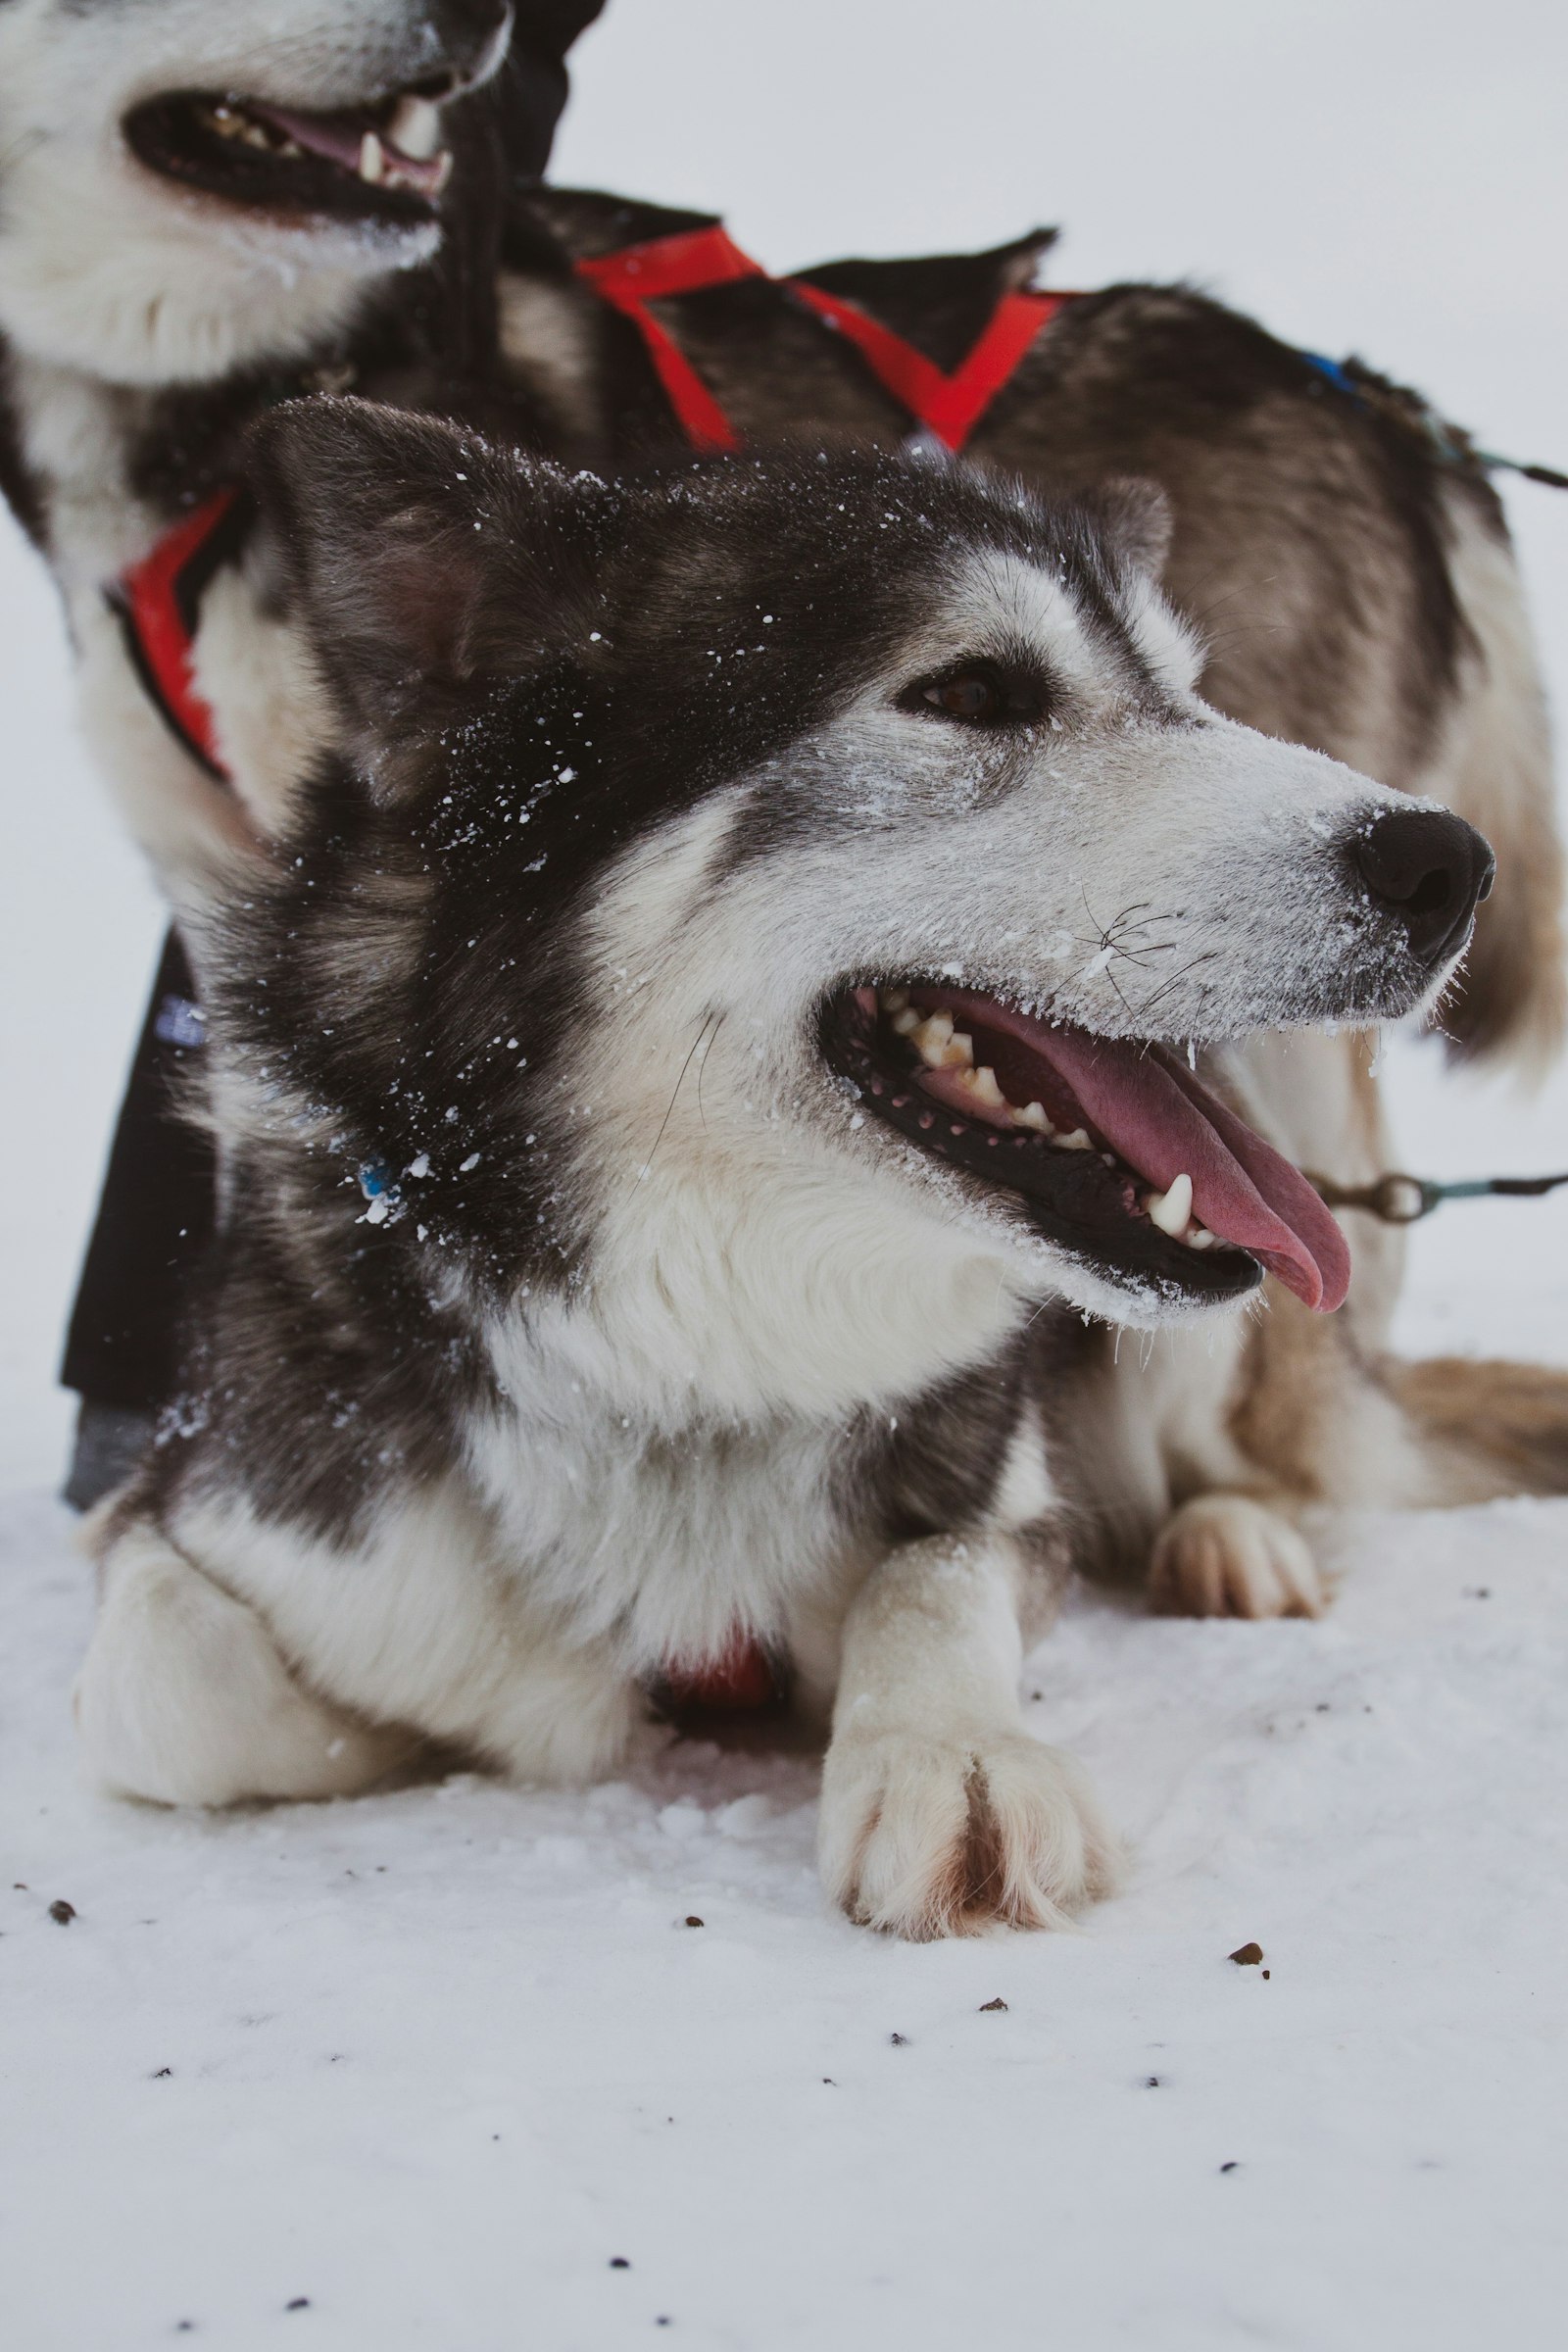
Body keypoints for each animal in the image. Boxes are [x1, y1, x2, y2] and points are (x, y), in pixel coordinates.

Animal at [75, 404, 1494, 1937]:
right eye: (976, 689)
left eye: (1191, 692)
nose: (1449, 865)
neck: (693, 1358)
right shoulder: (240, 1516)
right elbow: (172, 1684)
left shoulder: (1008, 1503)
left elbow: (936, 1569)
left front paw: (956, 1752)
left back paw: (1232, 1541)